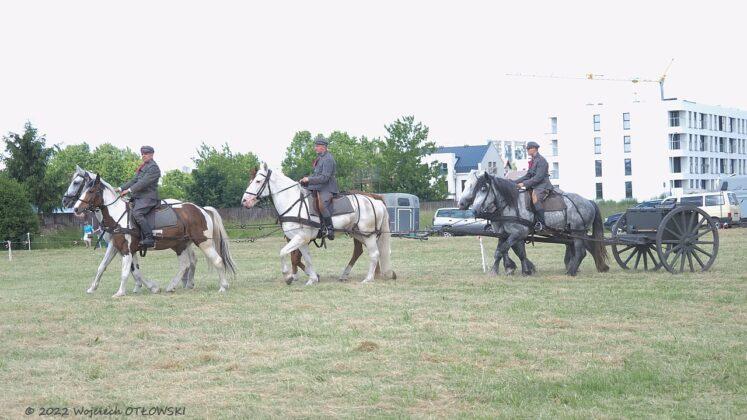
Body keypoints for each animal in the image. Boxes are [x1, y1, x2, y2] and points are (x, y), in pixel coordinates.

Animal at [71, 172, 236, 296]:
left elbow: (126, 271)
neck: (118, 215)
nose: (76, 209)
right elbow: (103, 266)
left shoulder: (126, 249)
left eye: (90, 191)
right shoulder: (115, 246)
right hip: (180, 244)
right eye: (83, 189)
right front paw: (92, 288)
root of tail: (201, 209)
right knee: (186, 264)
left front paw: (120, 292)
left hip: (203, 242)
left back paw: (223, 286)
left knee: (217, 260)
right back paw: (174, 285)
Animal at [241, 164, 395, 284]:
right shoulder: (302, 241)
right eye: (250, 180)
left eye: (258, 181)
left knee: (374, 254)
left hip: (368, 235)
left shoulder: (300, 238)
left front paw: (288, 276)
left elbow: (283, 253)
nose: (245, 201)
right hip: (358, 234)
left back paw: (368, 279)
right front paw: (312, 278)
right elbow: (306, 259)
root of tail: (375, 201)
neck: (293, 203)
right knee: (364, 251)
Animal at [459, 171, 609, 276]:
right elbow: (508, 250)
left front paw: (501, 270)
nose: (462, 204)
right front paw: (518, 269)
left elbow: (505, 249)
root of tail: (588, 201)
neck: (510, 204)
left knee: (581, 251)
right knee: (577, 247)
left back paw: (572, 271)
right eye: (468, 186)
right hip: (570, 232)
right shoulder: (504, 233)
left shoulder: (519, 233)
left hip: (578, 231)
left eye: (483, 188)